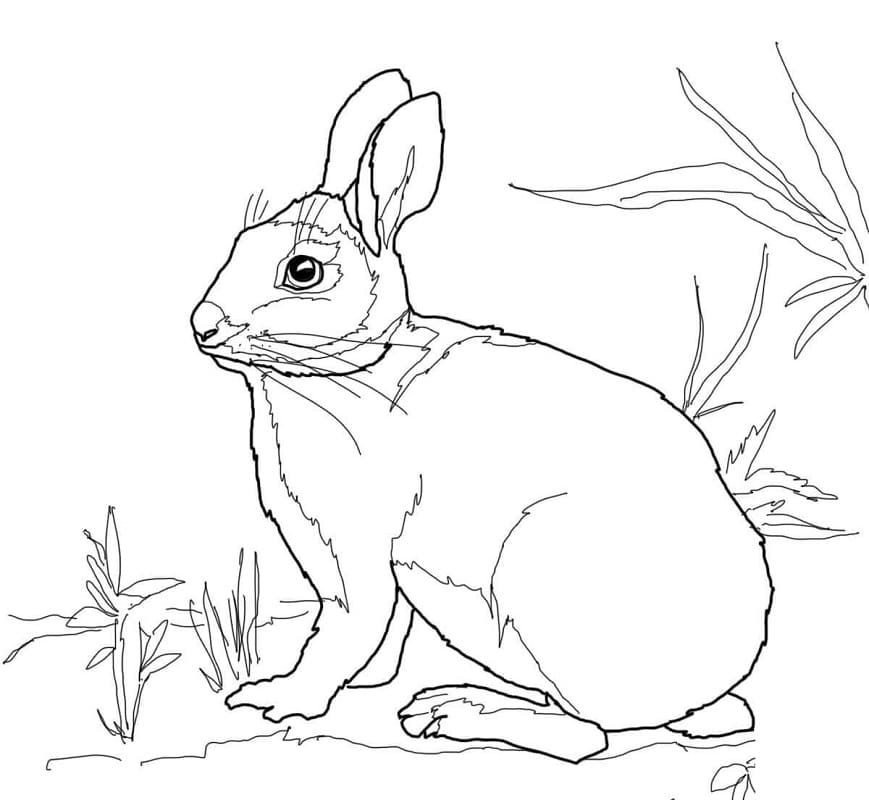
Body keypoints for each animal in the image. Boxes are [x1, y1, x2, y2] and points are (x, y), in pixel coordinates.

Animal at [190, 69, 773, 762]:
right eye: (239, 244)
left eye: (302, 271)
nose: (202, 325)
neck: (349, 371)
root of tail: (703, 692)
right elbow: (379, 636)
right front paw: (354, 686)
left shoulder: (359, 550)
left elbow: (346, 629)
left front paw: (282, 700)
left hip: (541, 578)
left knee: (584, 736)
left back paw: (452, 713)